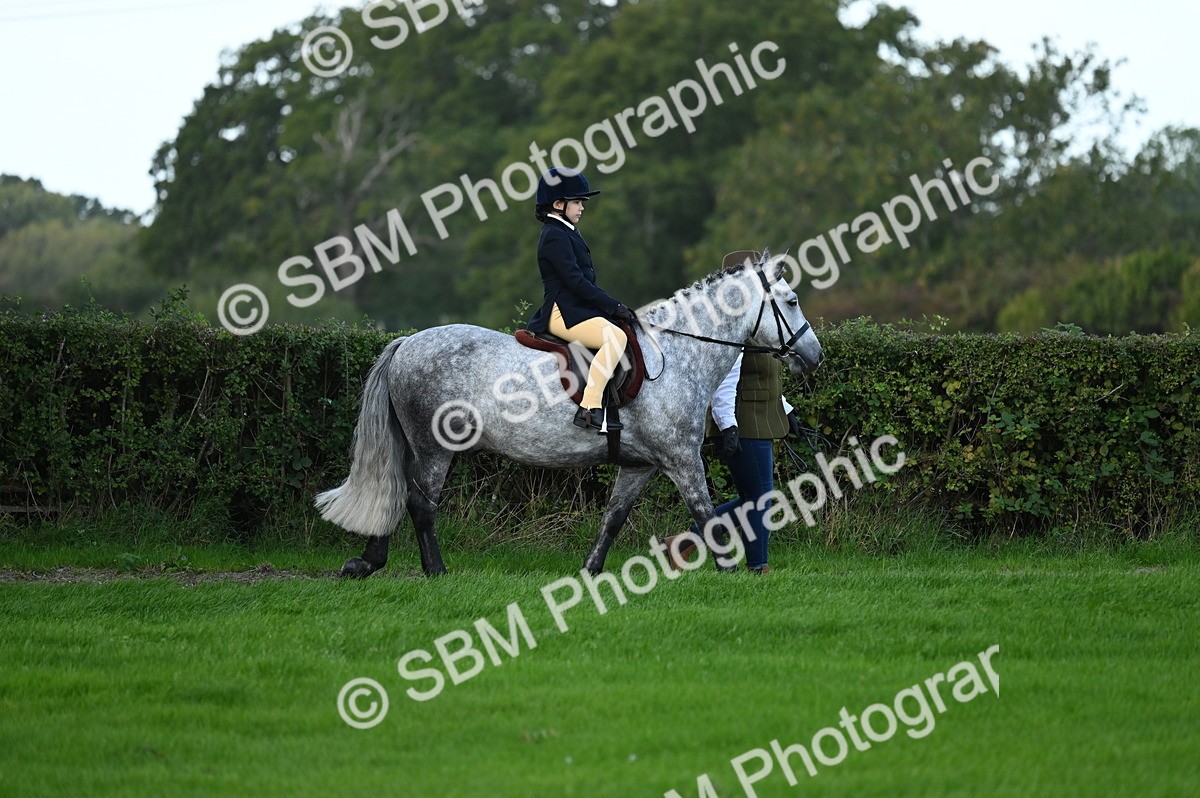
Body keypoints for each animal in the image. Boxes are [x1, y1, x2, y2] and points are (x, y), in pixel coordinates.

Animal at [315, 253, 824, 577]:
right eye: (793, 300)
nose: (815, 357)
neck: (678, 354)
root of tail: (406, 343)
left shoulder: (641, 465)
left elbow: (614, 518)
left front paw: (590, 571)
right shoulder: (681, 458)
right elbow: (704, 513)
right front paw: (729, 570)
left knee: (392, 493)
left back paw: (366, 563)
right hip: (434, 447)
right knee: (419, 503)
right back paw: (436, 571)